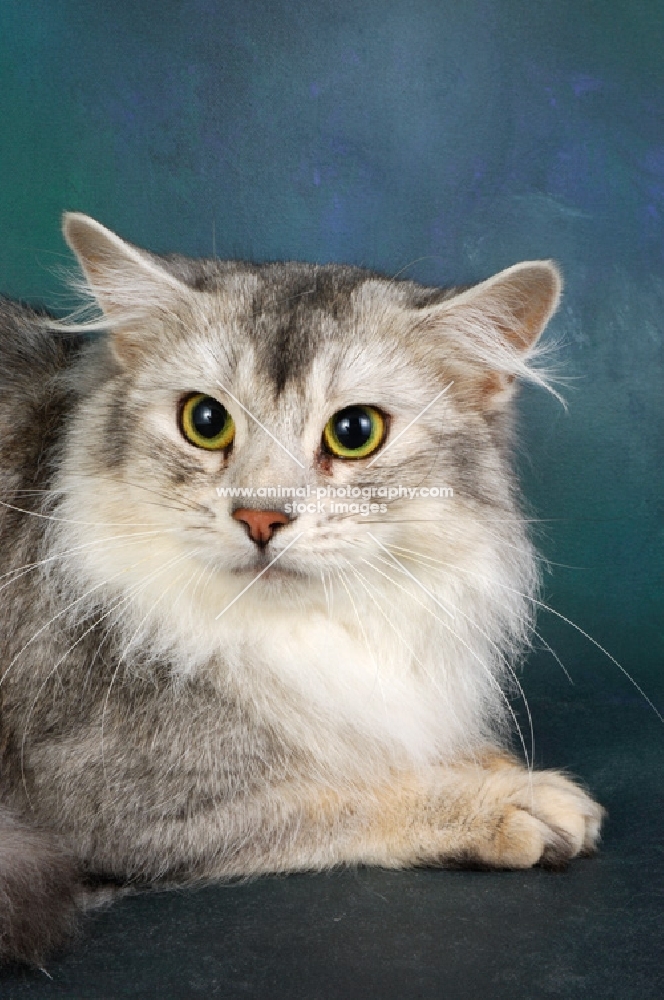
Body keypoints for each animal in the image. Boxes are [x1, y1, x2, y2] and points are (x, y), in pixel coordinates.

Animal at [0, 215, 604, 964]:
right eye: (206, 422)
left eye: (354, 432)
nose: (260, 518)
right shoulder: (110, 800)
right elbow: (347, 790)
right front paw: (501, 802)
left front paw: (492, 768)